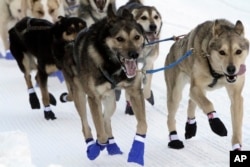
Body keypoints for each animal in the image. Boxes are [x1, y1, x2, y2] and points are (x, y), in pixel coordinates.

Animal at [165, 18, 249, 151]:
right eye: (222, 52)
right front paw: (217, 124)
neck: (218, 74)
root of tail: (172, 48)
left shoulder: (236, 96)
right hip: (176, 93)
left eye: (238, 51)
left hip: (200, 89)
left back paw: (191, 126)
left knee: (191, 102)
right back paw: (174, 140)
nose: (231, 69)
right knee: (170, 117)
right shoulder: (195, 87)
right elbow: (208, 104)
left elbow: (237, 125)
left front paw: (236, 145)